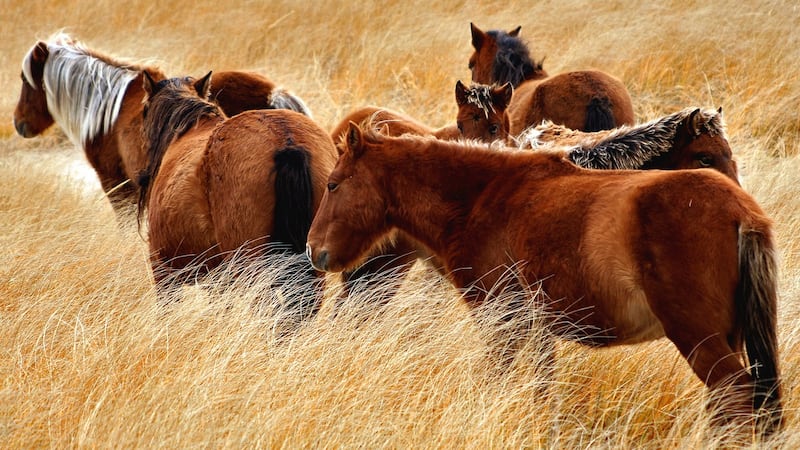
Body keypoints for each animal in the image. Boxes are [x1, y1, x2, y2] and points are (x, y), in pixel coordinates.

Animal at [306, 124, 782, 437]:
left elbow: (496, 382)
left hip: (700, 340)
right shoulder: (536, 332)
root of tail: (742, 211)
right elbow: (541, 391)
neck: (483, 198)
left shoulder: (500, 323)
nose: (315, 251)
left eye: (334, 184)